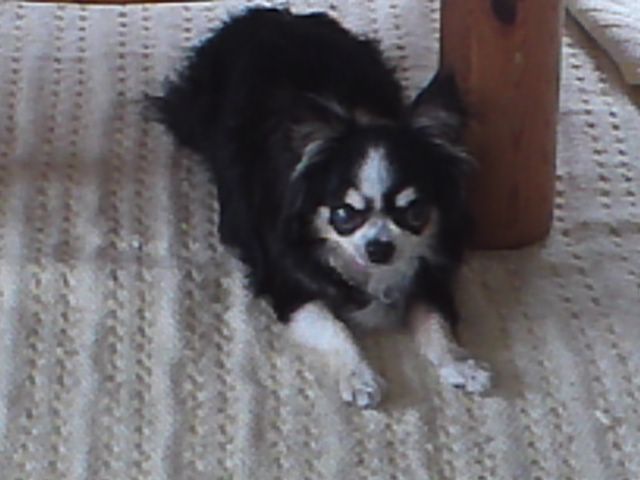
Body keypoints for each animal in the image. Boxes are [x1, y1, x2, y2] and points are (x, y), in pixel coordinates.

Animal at [152, 7, 491, 408]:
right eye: (344, 214)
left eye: (414, 213)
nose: (379, 247)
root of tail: (267, 13)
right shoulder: (288, 285)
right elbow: (334, 328)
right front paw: (359, 376)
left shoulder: (430, 271)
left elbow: (436, 323)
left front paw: (461, 364)